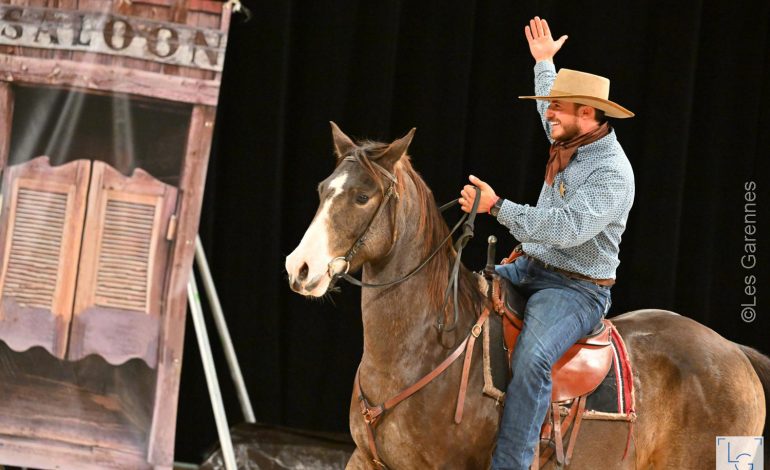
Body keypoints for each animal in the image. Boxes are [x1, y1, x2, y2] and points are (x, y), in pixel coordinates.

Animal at [284, 123, 764, 468]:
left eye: (363, 196)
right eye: (323, 190)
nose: (299, 267)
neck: (425, 348)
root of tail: (733, 352)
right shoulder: (364, 459)